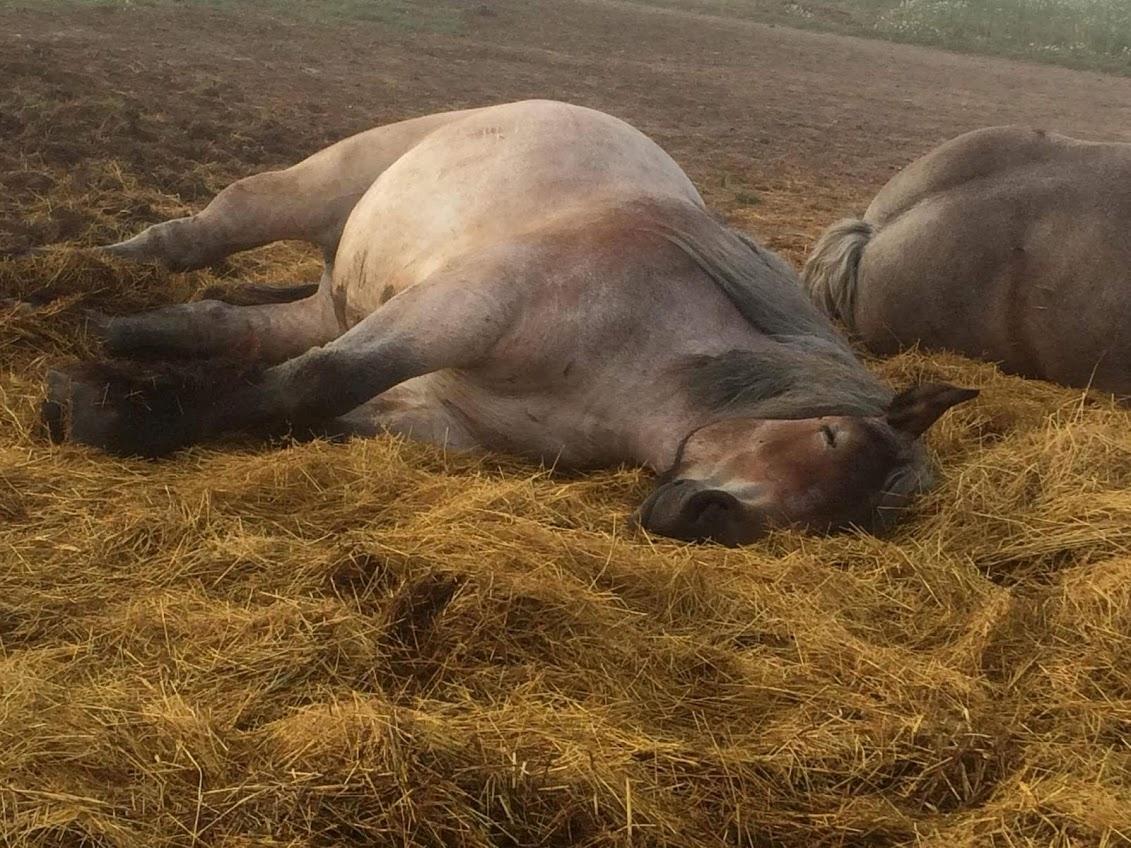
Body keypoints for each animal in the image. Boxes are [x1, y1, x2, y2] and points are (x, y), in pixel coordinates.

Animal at [39, 99, 972, 547]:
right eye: (830, 438)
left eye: (845, 521)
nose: (709, 521)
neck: (642, 366)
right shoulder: (465, 307)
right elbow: (318, 384)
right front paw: (99, 411)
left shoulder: (442, 416)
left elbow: (301, 406)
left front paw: (109, 395)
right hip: (308, 191)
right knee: (200, 238)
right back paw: (69, 271)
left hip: (336, 297)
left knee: (233, 324)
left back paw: (113, 334)